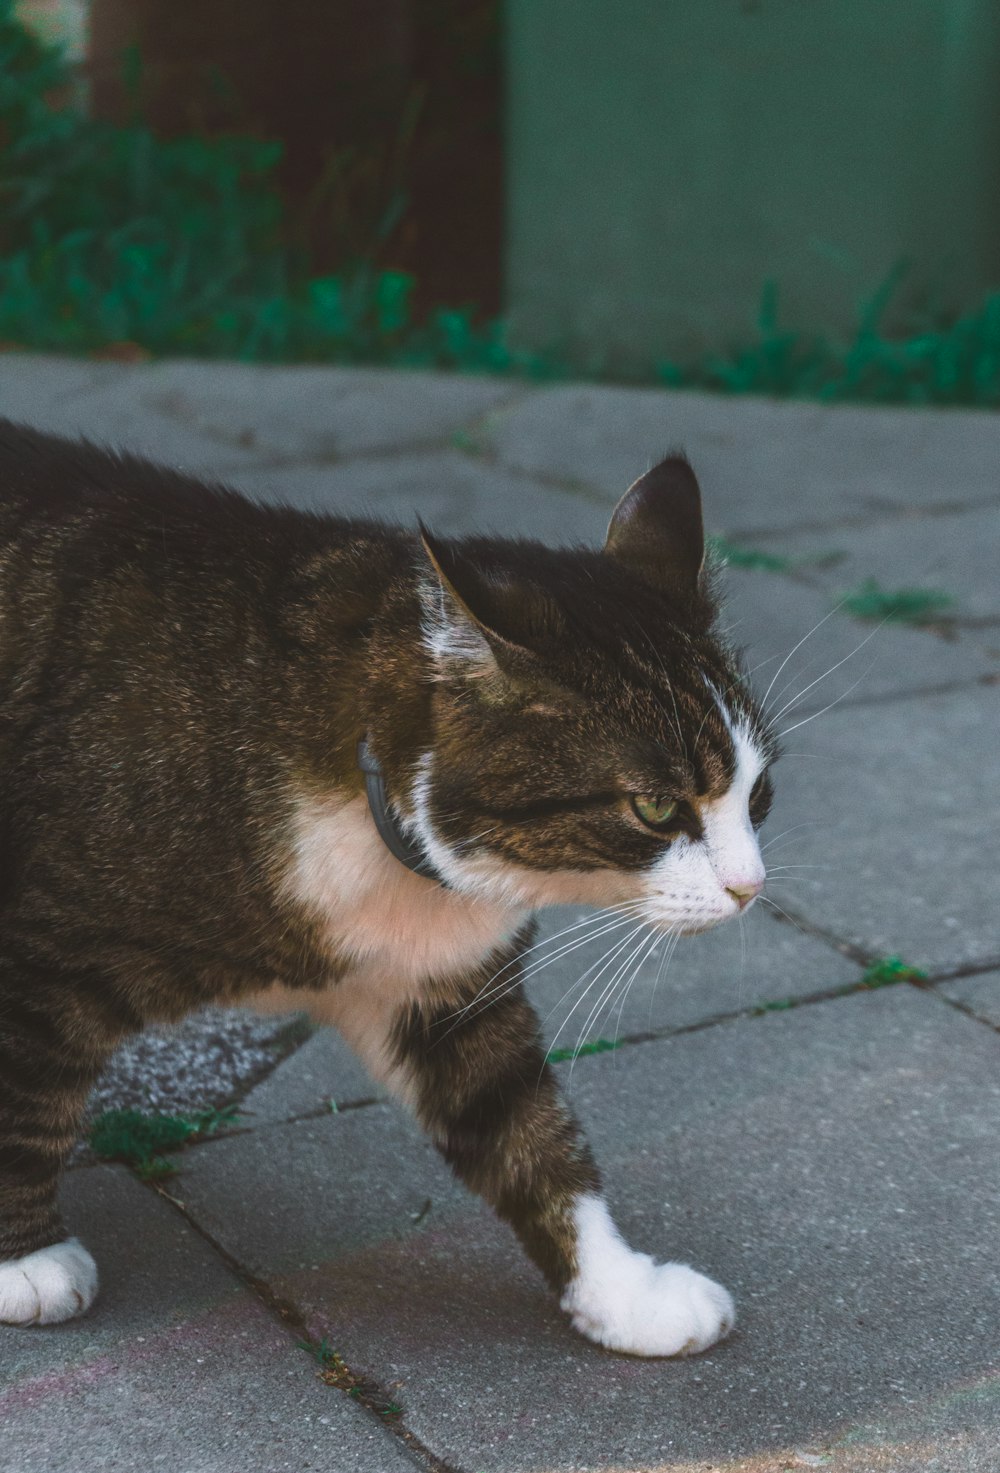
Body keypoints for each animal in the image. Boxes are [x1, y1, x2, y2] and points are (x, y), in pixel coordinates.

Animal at [0, 421, 771, 1349]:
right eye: (655, 806)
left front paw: (624, 1294)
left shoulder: (445, 991)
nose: (752, 886)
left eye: (758, 794)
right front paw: (24, 1260)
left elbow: (531, 1136)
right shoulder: (44, 948)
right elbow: (23, 1093)